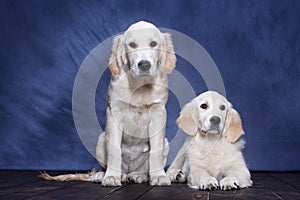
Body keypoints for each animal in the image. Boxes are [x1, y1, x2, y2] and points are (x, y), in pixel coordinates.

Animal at [39, 20, 176, 186]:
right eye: (132, 45)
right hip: (101, 140)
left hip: (166, 143)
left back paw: (139, 175)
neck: (139, 85)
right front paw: (111, 177)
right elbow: (114, 149)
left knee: (141, 168)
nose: (144, 65)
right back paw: (104, 175)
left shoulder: (158, 112)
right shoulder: (114, 112)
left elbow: (155, 150)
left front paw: (159, 176)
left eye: (154, 44)